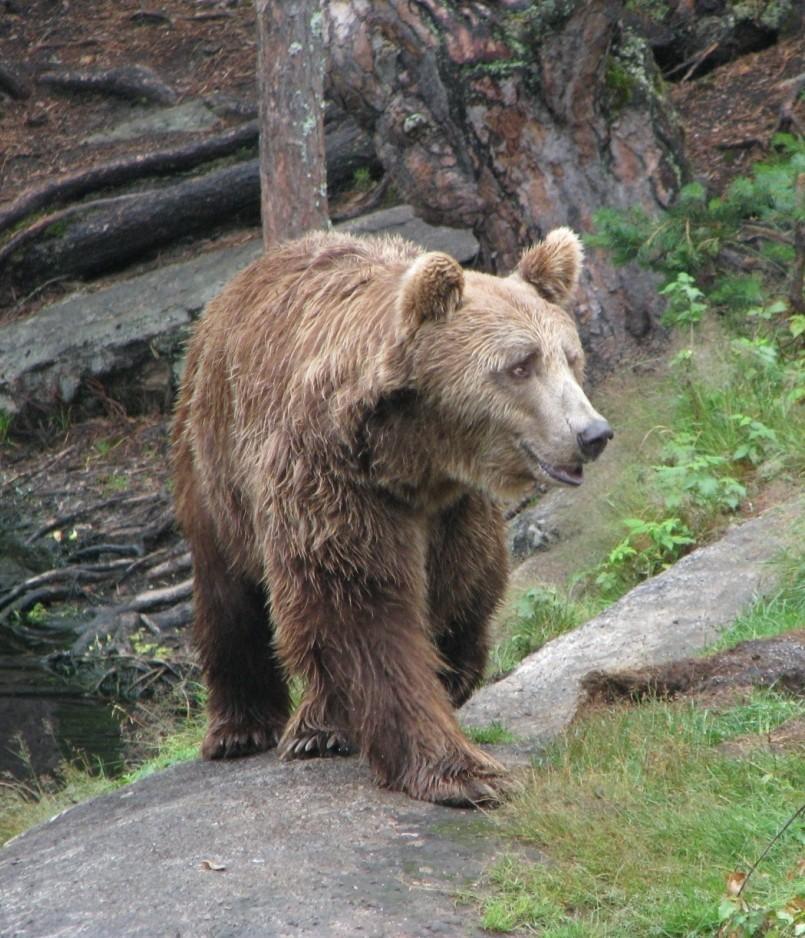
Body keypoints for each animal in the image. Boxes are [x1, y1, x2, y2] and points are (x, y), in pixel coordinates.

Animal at [171, 229, 608, 804]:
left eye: (571, 357)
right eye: (520, 365)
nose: (592, 433)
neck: (415, 453)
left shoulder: (455, 508)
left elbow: (462, 587)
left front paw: (449, 678)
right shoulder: (333, 479)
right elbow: (359, 609)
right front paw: (466, 772)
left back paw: (319, 725)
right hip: (214, 457)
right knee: (228, 589)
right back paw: (244, 727)